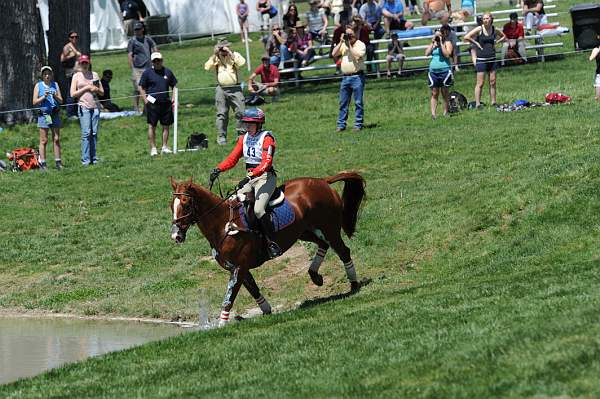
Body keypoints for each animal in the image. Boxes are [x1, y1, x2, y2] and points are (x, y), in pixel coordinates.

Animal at [170, 171, 366, 324]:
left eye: (186, 203)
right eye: (171, 206)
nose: (176, 236)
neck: (223, 224)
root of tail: (323, 181)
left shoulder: (239, 267)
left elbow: (229, 298)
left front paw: (220, 325)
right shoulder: (237, 268)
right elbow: (253, 289)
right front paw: (267, 310)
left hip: (329, 228)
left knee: (343, 251)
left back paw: (353, 284)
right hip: (304, 231)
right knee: (323, 244)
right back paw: (315, 276)